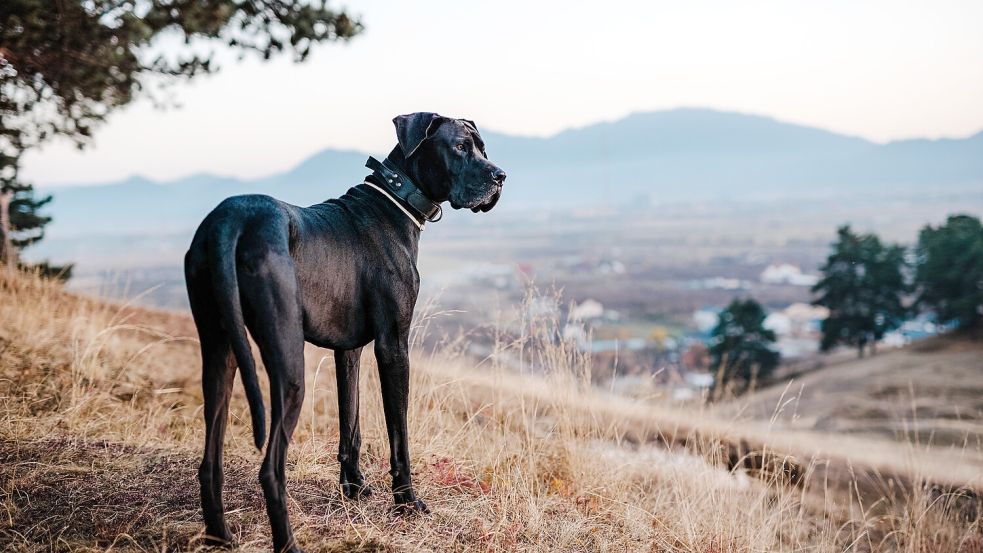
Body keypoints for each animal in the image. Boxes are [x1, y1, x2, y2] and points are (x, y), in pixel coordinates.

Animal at [184, 113, 508, 552]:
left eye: (483, 148)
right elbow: (398, 433)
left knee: (209, 461)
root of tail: (230, 222)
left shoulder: (348, 350)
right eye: (459, 146)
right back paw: (288, 544)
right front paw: (407, 501)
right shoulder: (393, 346)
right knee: (270, 469)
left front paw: (352, 487)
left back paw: (220, 536)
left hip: (221, 352)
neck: (397, 199)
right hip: (288, 364)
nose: (500, 176)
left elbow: (349, 421)